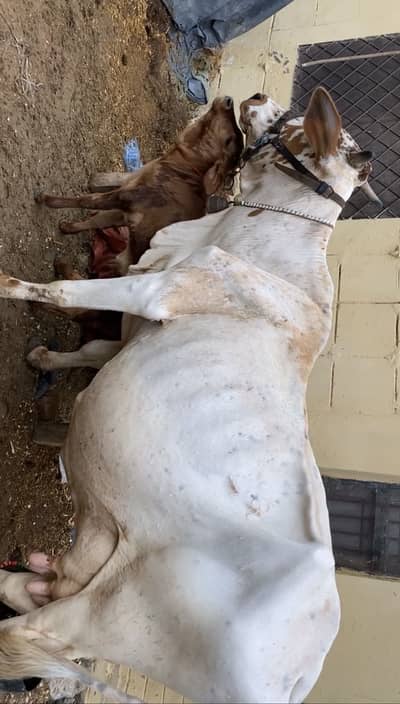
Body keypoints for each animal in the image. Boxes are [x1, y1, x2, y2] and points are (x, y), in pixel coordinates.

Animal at [0, 87, 379, 703]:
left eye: (295, 125)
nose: (257, 93)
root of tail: (300, 675)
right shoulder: (132, 328)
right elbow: (89, 350)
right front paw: (43, 359)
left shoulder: (156, 288)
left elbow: (62, 291)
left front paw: (7, 286)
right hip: (99, 557)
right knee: (32, 590)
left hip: (112, 613)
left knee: (29, 629)